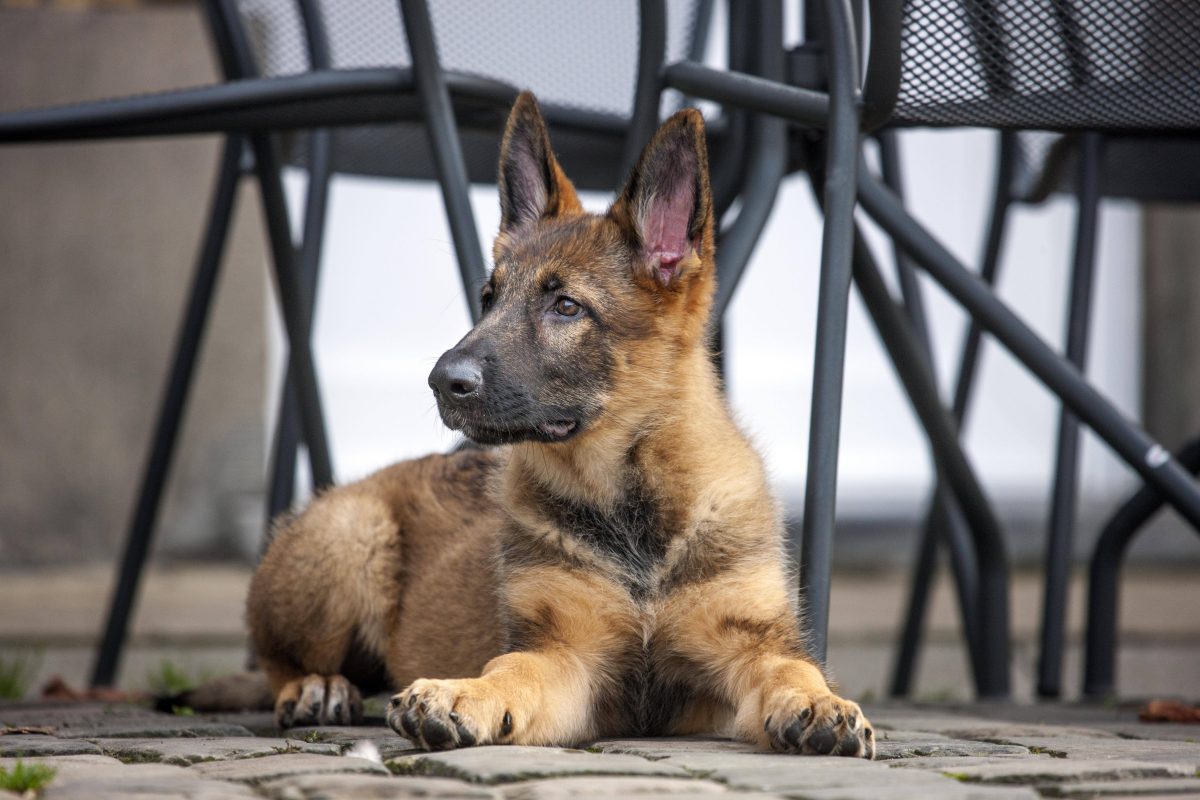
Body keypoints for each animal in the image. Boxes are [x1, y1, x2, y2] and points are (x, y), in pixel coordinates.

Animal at [248, 90, 878, 762]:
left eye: (566, 306)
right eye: (489, 299)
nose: (442, 382)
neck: (631, 513)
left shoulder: (748, 644)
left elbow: (792, 667)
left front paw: (821, 702)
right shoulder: (566, 655)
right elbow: (510, 672)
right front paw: (461, 694)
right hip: (349, 537)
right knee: (277, 660)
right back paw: (317, 686)